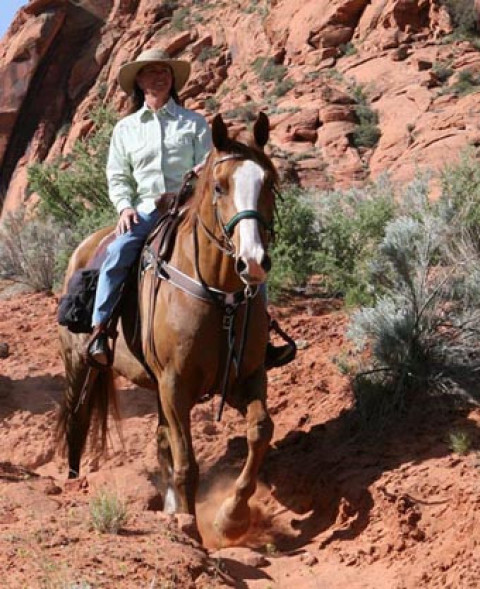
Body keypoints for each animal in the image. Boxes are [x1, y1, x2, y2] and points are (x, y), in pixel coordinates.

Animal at [57, 111, 278, 544]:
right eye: (219, 186)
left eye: (269, 183)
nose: (253, 261)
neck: (221, 298)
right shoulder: (175, 384)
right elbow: (187, 461)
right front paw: (191, 526)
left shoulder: (245, 377)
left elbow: (260, 430)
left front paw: (231, 517)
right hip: (80, 363)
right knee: (76, 419)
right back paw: (74, 482)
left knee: (161, 441)